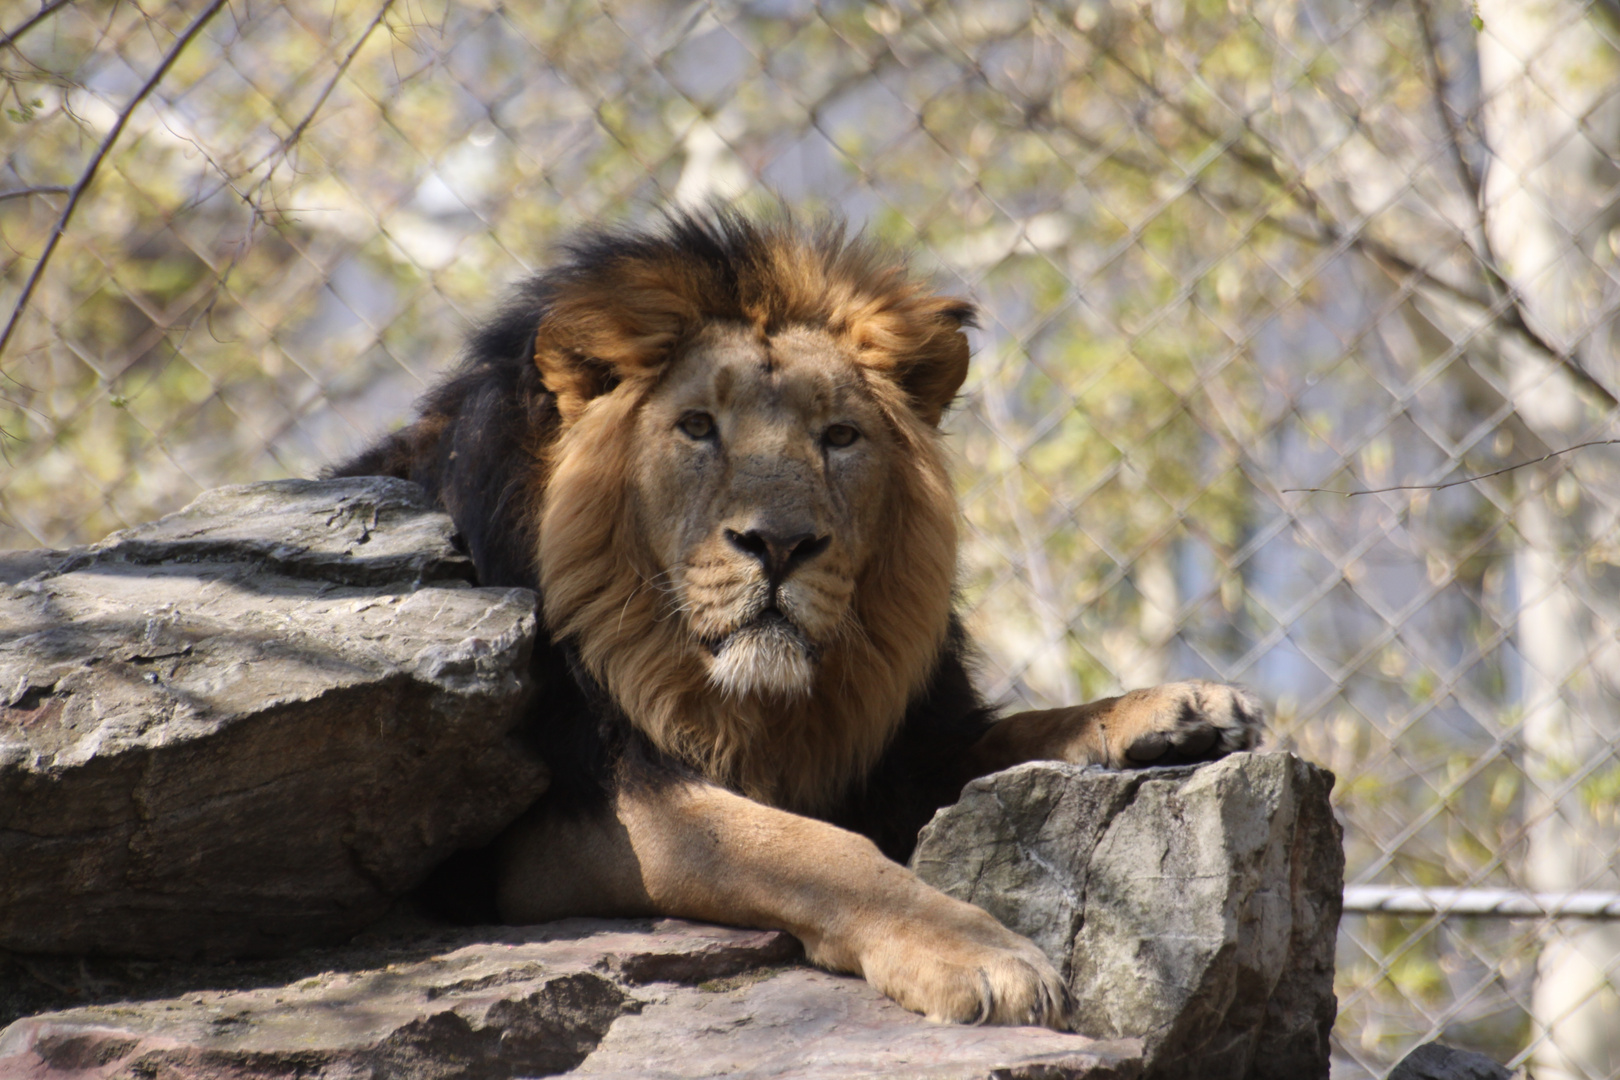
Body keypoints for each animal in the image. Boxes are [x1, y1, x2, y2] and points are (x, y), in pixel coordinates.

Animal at [332, 208, 1263, 1029]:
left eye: (840, 436)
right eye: (697, 427)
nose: (779, 545)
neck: (764, 706)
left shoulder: (906, 750)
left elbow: (1018, 731)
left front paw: (1175, 710)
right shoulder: (574, 812)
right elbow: (813, 851)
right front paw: (983, 956)